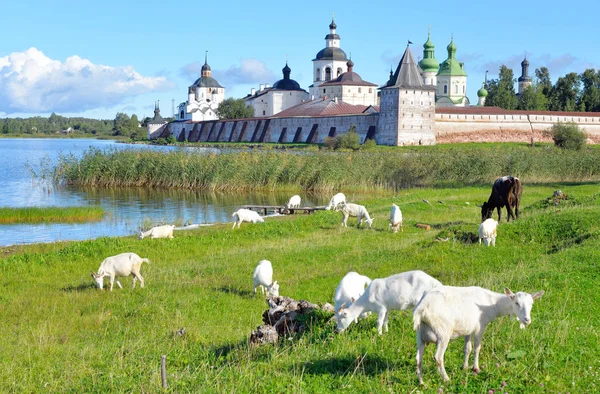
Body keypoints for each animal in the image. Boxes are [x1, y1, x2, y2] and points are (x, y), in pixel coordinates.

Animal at [414, 284, 548, 384]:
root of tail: (422, 308)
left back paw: (421, 383)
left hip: (419, 333)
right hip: (443, 332)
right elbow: (477, 347)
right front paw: (476, 368)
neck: (491, 303)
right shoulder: (480, 326)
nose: (527, 320)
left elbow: (467, 348)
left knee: (418, 358)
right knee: (438, 357)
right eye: (516, 303)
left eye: (531, 304)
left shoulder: (468, 328)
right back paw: (446, 379)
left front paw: (464, 367)